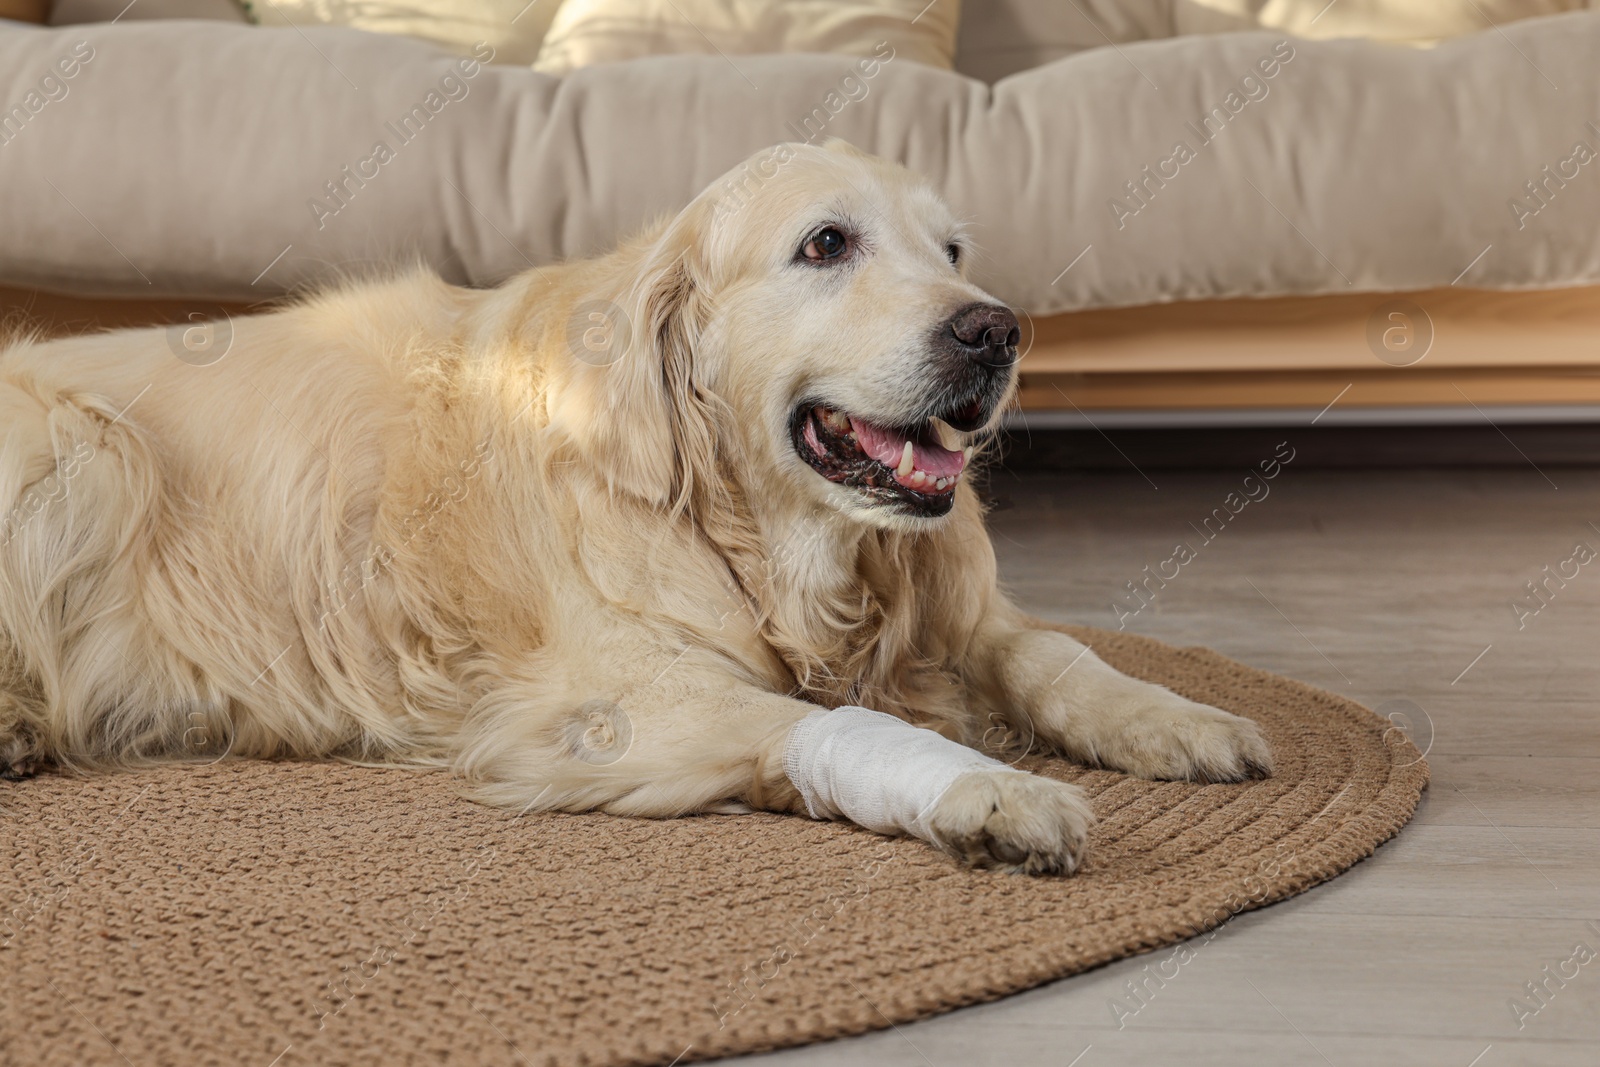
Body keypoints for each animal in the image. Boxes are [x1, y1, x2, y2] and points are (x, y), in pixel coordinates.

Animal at [3, 141, 1273, 870]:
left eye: (953, 248)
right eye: (826, 242)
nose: (997, 330)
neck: (742, 529)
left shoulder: (958, 606)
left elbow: (1056, 653)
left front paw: (1176, 718)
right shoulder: (599, 705)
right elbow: (830, 723)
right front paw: (989, 789)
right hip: (79, 445)